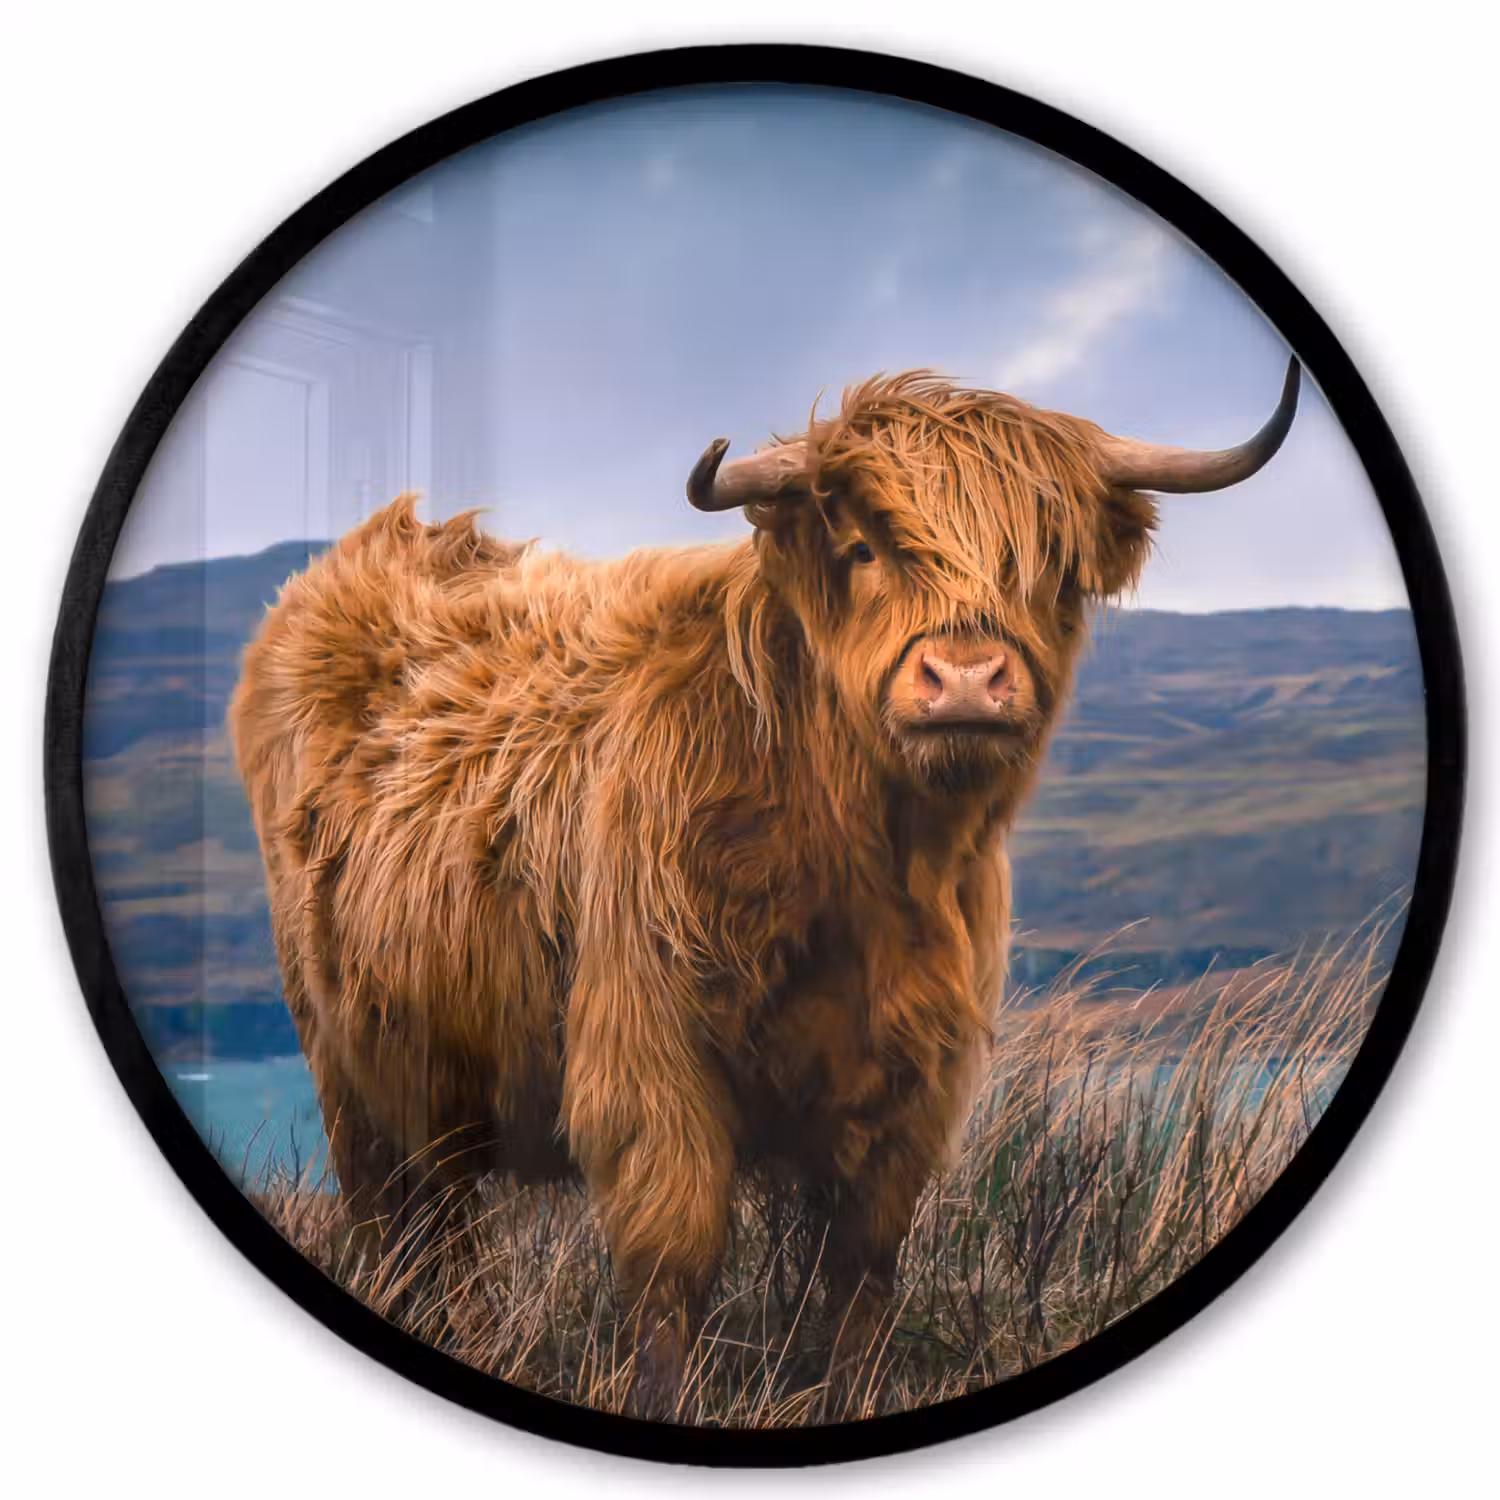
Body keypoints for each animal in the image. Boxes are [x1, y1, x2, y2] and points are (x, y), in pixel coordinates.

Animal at [229, 360, 1300, 1419]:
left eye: (1049, 566)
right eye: (864, 548)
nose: (963, 680)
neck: (861, 868)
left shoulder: (914, 1080)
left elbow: (863, 1267)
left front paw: (850, 1395)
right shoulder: (649, 1056)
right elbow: (674, 1259)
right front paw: (666, 1401)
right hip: (353, 1065)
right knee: (410, 1225)